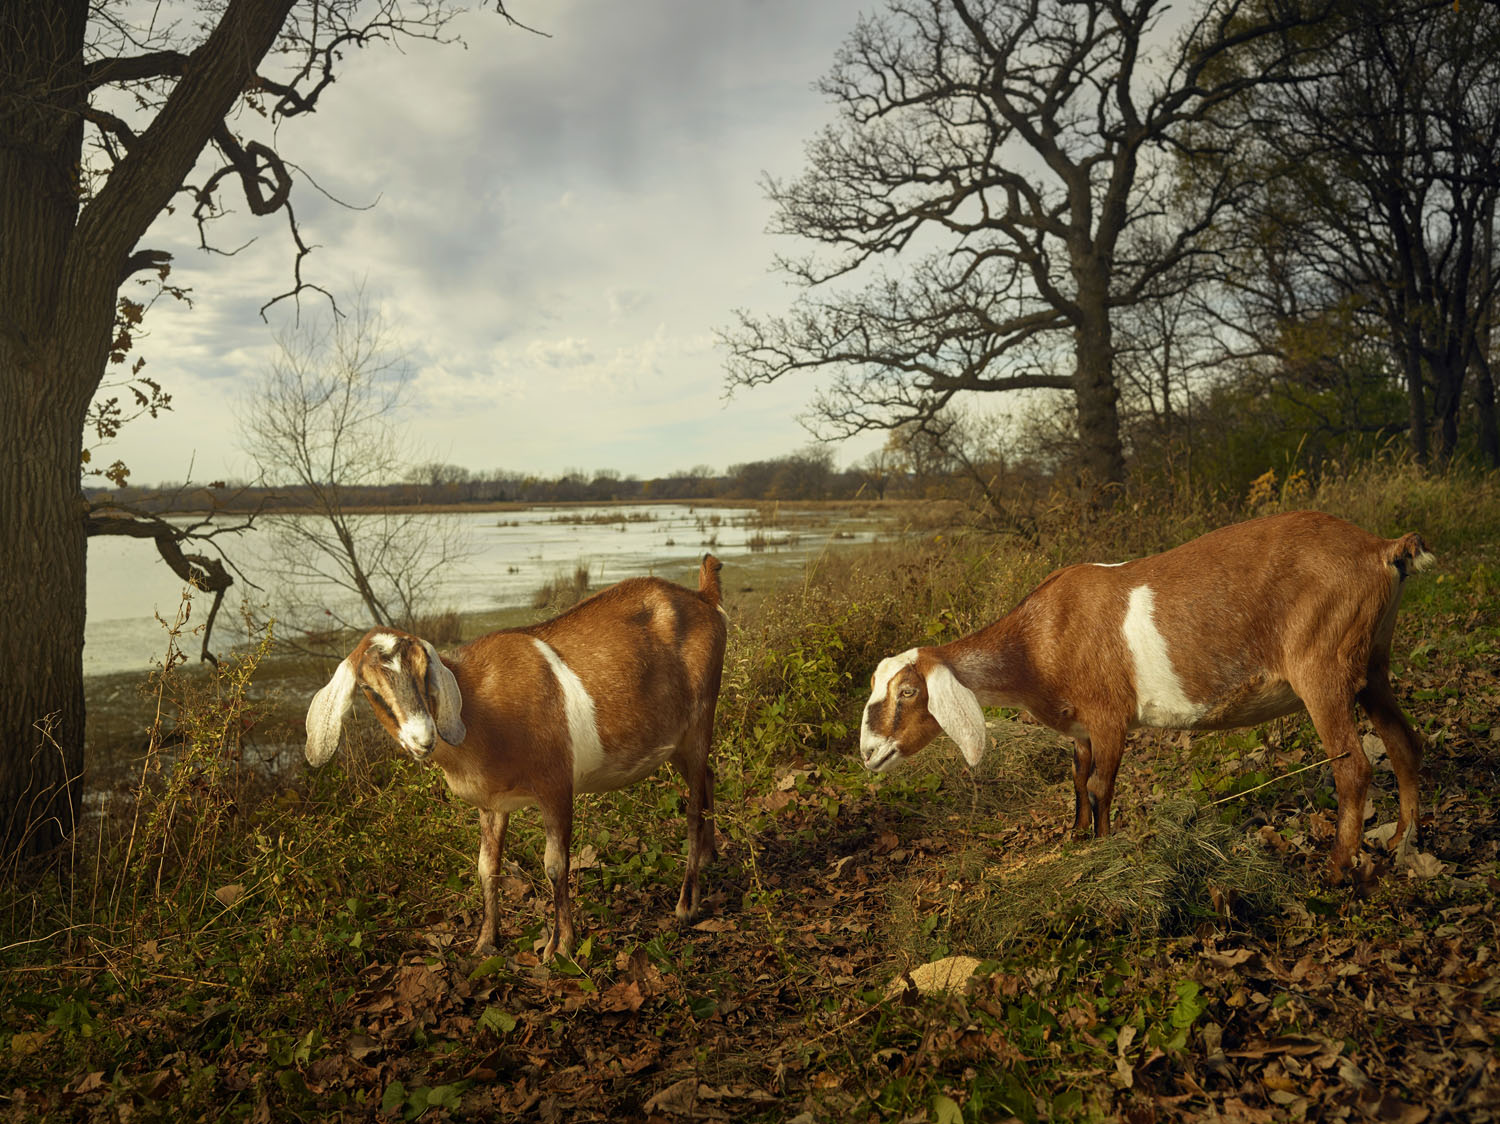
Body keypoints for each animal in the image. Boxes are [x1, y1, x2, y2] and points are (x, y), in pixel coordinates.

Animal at [304, 552, 726, 954]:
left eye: (425, 673)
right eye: (370, 690)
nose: (422, 738)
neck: (479, 711)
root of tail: (706, 596)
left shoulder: (556, 784)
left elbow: (555, 865)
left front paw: (561, 945)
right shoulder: (491, 804)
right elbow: (486, 868)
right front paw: (485, 941)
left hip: (701, 717)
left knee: (692, 809)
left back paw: (687, 904)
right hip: (675, 741)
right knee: (707, 776)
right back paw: (710, 858)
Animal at [858, 510, 1428, 876]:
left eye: (907, 691)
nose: (868, 753)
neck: (1037, 641)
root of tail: (1382, 549)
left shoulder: (1110, 716)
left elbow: (1098, 787)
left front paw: (1103, 852)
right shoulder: (1081, 728)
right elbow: (1077, 780)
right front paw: (1075, 840)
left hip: (1322, 666)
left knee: (1354, 767)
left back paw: (1335, 871)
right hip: (1372, 663)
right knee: (1403, 743)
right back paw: (1403, 846)